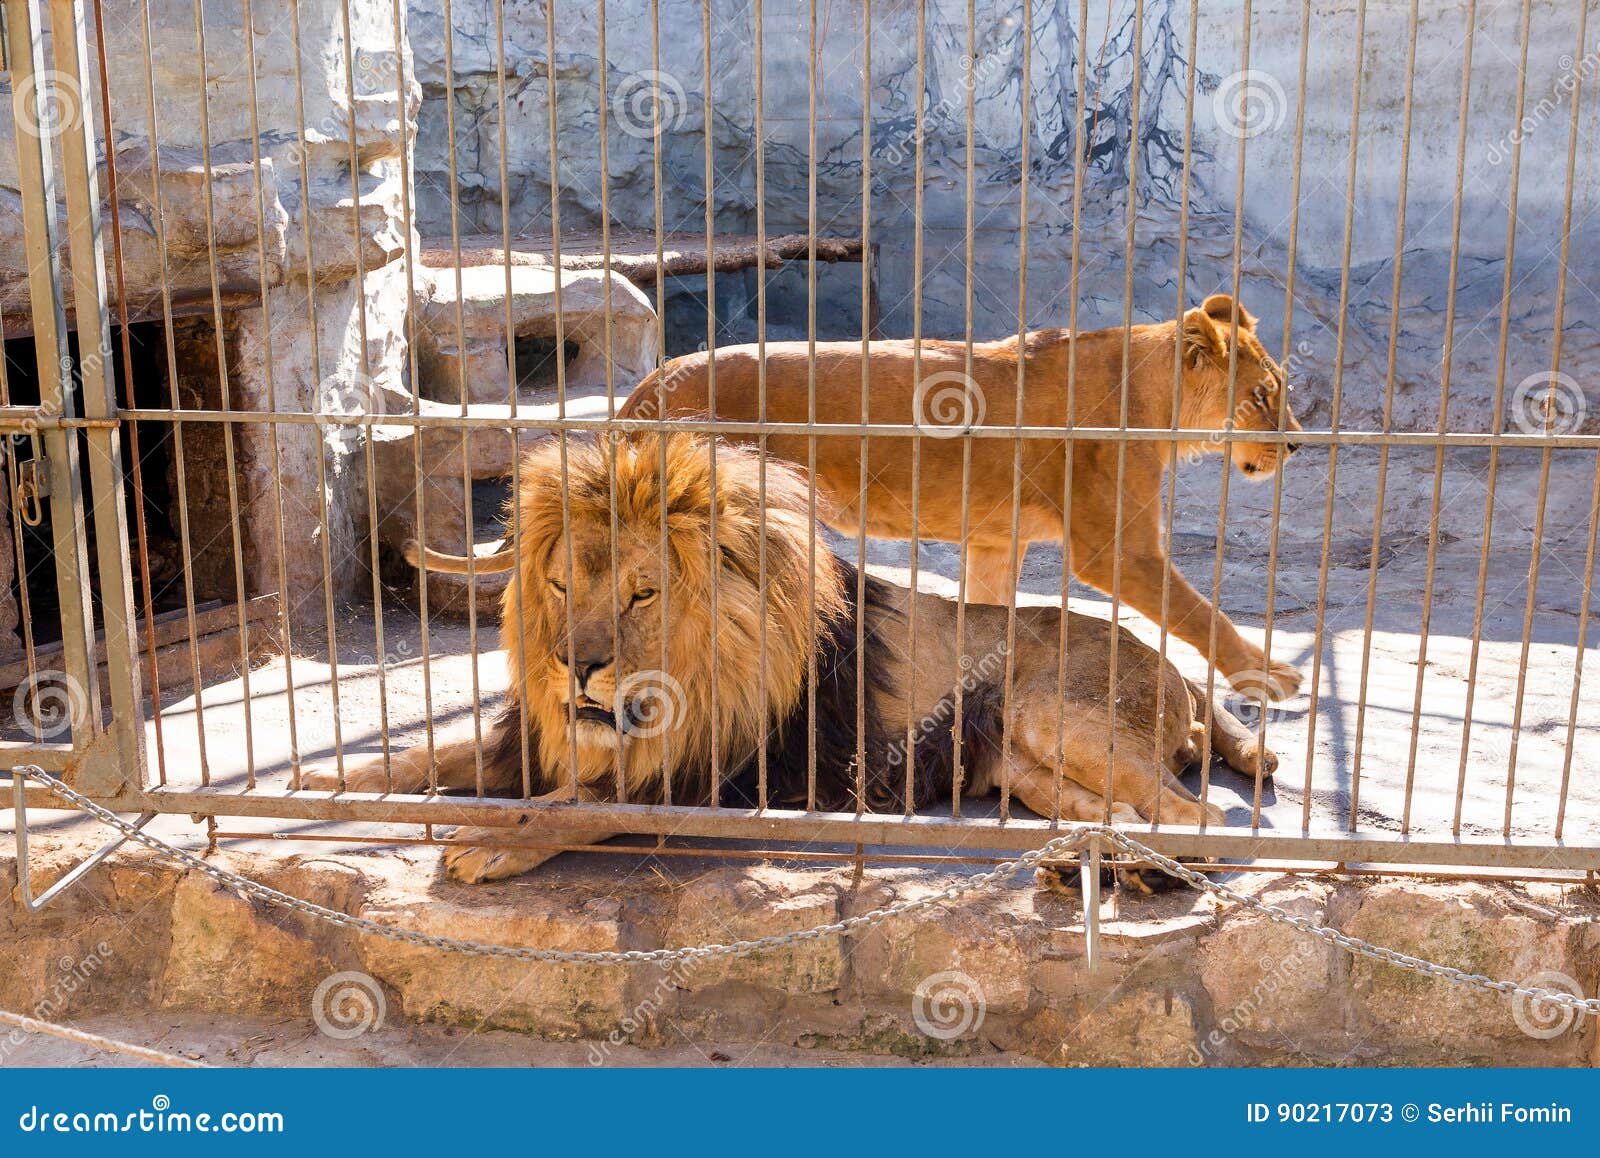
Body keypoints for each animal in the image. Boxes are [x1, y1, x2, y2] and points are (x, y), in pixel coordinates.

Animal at [305, 428, 1273, 882]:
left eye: (643, 594)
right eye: (559, 586)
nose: (576, 669)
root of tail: (1179, 672)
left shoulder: (724, 773)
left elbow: (571, 809)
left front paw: (485, 840)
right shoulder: (536, 741)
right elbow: (425, 754)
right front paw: (321, 783)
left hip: (1054, 713)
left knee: (1209, 820)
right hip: (1026, 770)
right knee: (1135, 812)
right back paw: (1086, 856)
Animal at [611, 294, 1299, 700]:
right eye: (1262, 395)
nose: (1294, 444)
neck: (1153, 404)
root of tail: (643, 391)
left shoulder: (996, 545)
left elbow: (990, 617)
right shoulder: (1116, 551)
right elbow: (1201, 613)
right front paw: (1267, 674)